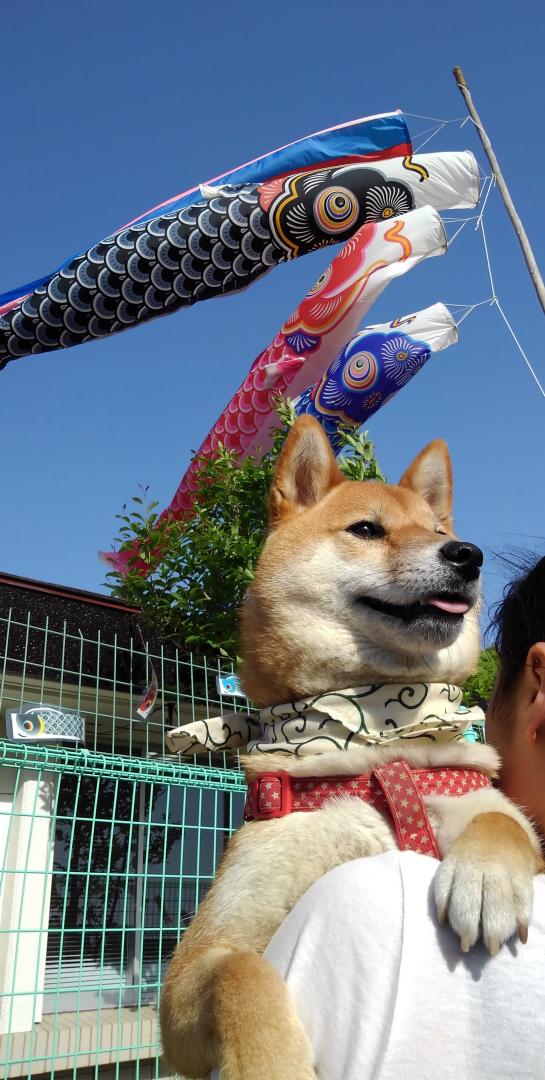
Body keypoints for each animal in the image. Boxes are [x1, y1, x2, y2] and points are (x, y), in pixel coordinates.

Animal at [159, 414, 541, 1080]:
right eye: (366, 530)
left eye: (440, 532)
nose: (467, 554)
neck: (377, 738)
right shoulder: (197, 965)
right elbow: (241, 977)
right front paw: (272, 1065)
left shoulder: (495, 814)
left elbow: (502, 822)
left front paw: (487, 878)